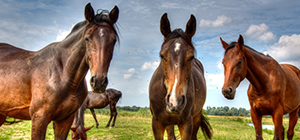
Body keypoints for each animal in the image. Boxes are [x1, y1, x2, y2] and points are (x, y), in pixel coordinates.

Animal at [0, 2, 119, 139]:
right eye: (87, 38)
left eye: (113, 40)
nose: (99, 82)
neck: (63, 74)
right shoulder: (39, 119)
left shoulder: (65, 120)